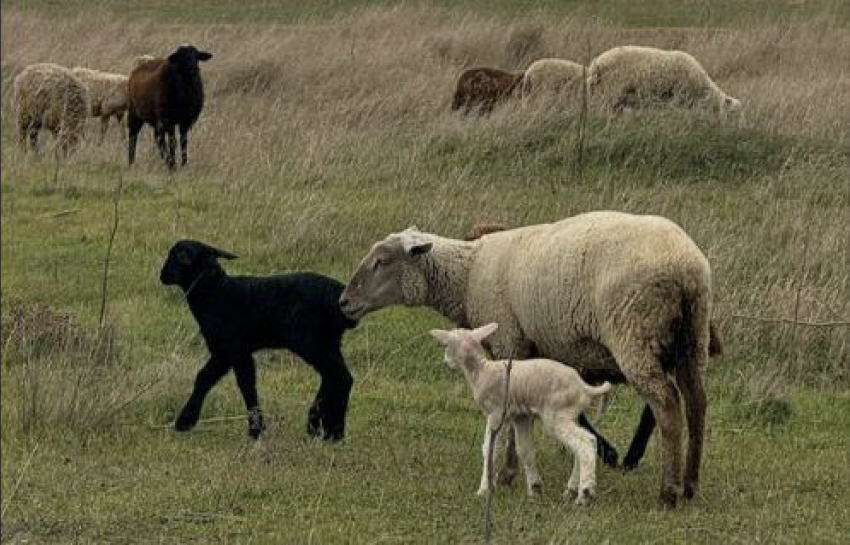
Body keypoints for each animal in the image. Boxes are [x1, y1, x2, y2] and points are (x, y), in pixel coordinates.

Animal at [159, 240, 354, 440]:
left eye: (174, 256)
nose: (162, 275)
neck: (217, 293)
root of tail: (340, 297)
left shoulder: (227, 348)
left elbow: (205, 377)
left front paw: (185, 421)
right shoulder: (241, 353)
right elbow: (247, 385)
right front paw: (257, 429)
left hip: (314, 342)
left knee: (340, 377)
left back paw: (333, 431)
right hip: (328, 342)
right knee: (335, 377)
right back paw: (320, 425)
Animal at [430, 320, 608, 504]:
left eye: (446, 345)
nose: (446, 362)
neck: (481, 370)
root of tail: (583, 387)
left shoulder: (495, 413)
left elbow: (490, 449)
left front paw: (484, 489)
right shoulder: (521, 416)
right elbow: (525, 450)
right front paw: (535, 489)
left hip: (557, 415)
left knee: (585, 442)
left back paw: (585, 494)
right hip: (570, 415)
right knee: (582, 445)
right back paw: (571, 490)